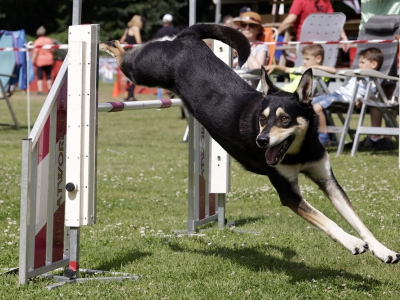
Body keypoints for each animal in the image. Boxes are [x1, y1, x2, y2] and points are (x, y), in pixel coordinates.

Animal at [99, 24, 396, 262]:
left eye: (284, 119)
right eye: (262, 119)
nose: (261, 140)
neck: (299, 152)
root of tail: (188, 38)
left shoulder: (327, 179)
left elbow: (357, 220)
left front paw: (382, 250)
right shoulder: (288, 193)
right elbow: (327, 220)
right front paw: (353, 243)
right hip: (144, 71)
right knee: (125, 57)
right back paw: (107, 43)